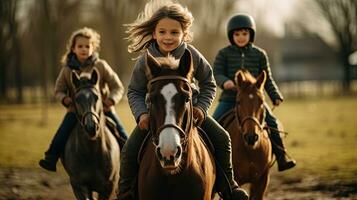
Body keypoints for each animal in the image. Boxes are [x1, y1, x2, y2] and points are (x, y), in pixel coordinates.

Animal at [61, 69, 121, 200]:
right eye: (77, 99)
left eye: (97, 97)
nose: (91, 127)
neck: (91, 153)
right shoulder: (78, 185)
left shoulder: (108, 187)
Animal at [217, 69, 272, 199]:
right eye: (238, 102)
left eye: (261, 102)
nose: (251, 137)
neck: (250, 150)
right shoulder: (235, 180)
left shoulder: (262, 181)